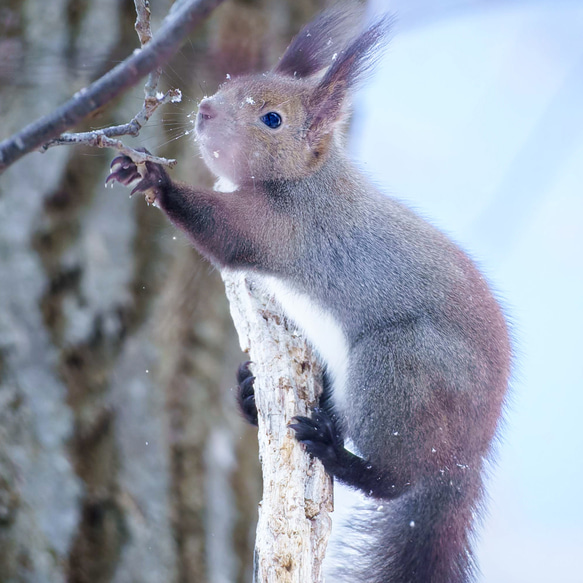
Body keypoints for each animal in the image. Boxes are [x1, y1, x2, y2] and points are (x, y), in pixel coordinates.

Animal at [106, 5, 512, 583]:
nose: (205, 109)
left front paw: (158, 182)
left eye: (272, 120)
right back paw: (253, 396)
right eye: (231, 84)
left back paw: (338, 455)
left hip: (399, 370)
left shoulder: (287, 230)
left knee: (398, 480)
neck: (308, 179)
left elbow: (228, 236)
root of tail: (466, 459)